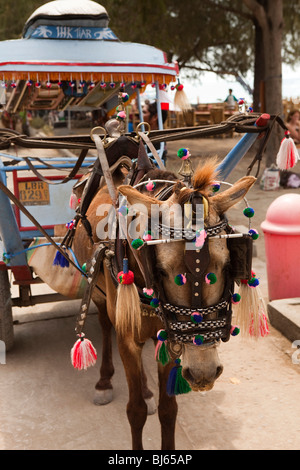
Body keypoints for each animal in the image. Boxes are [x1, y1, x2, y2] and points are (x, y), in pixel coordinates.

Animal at [71, 160, 255, 450]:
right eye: (163, 270)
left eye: (227, 265)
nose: (203, 373)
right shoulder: (127, 338)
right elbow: (134, 410)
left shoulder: (172, 338)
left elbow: (169, 410)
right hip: (101, 297)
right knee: (104, 324)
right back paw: (104, 380)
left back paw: (147, 389)